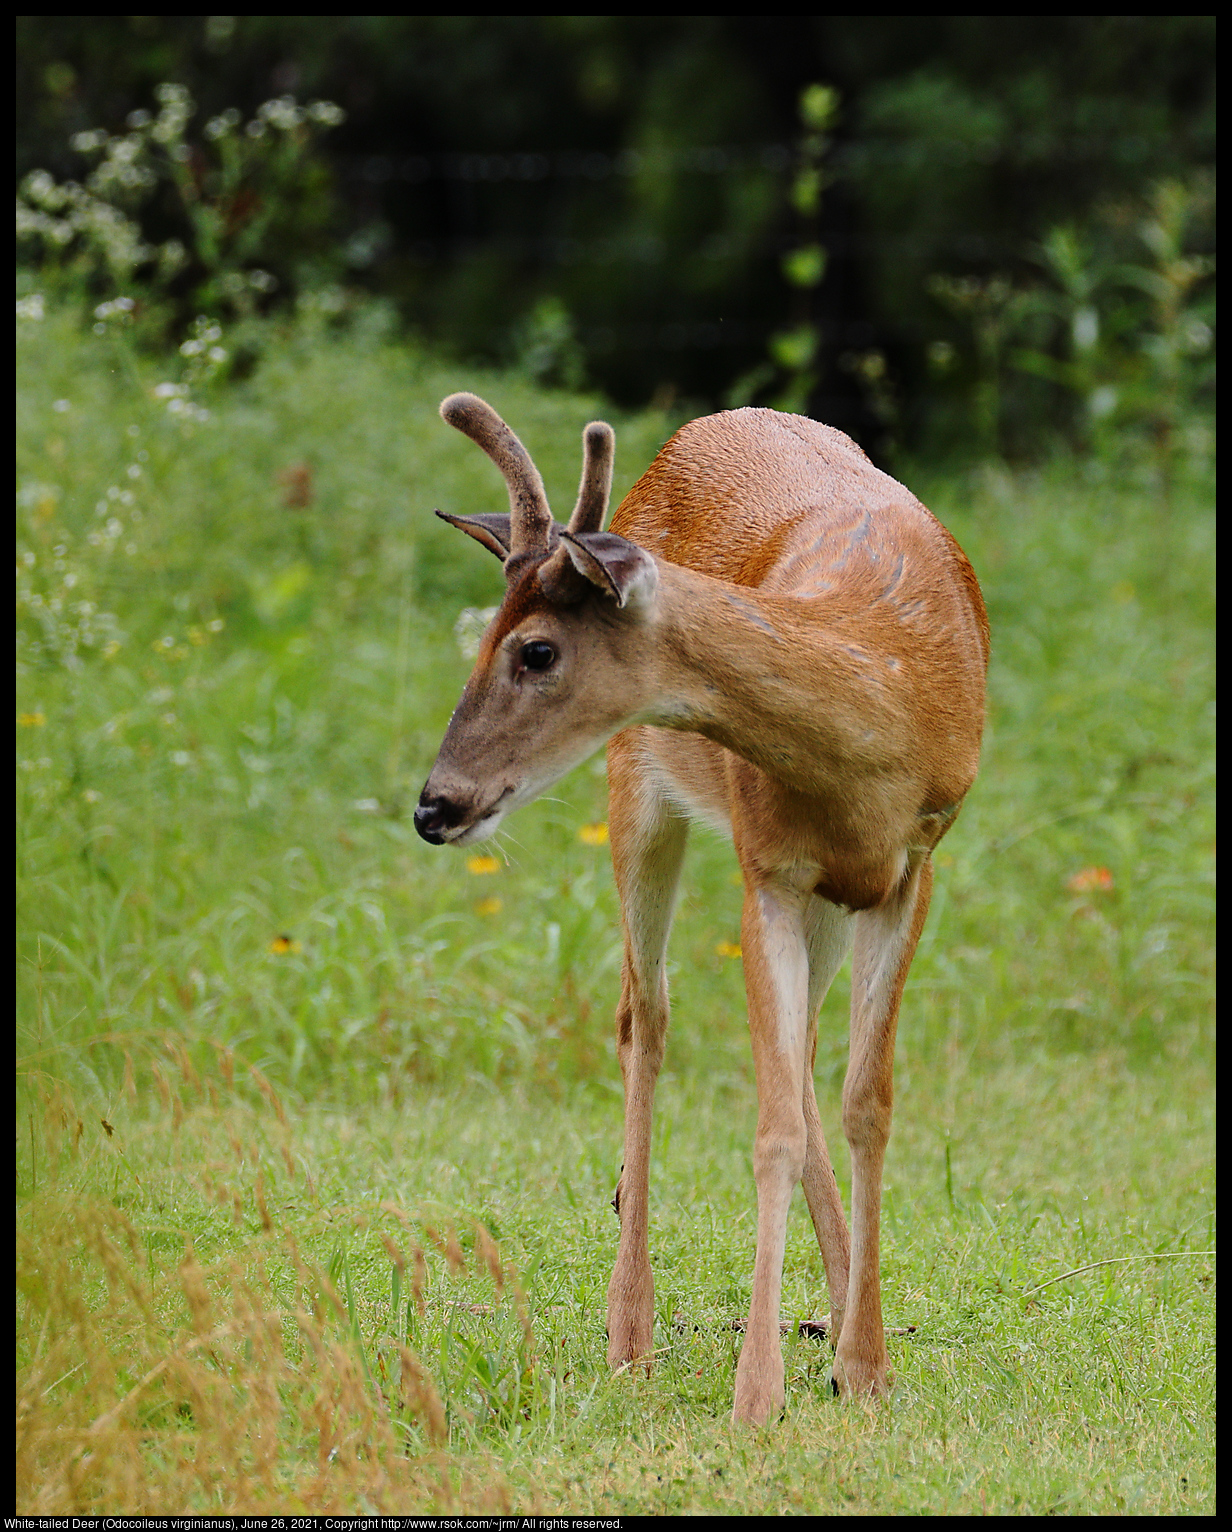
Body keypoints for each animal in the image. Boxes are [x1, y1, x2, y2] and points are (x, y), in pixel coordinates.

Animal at [413, 392, 992, 1421]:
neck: (887, 687)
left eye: (535, 649)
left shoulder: (912, 865)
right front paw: (757, 1395)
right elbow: (770, 1127)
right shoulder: (768, 866)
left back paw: (837, 1319)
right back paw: (632, 1332)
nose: (434, 805)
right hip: (636, 788)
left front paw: (868, 1365)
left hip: (826, 897)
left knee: (802, 1063)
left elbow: (866, 1102)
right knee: (645, 1017)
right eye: (481, 641)